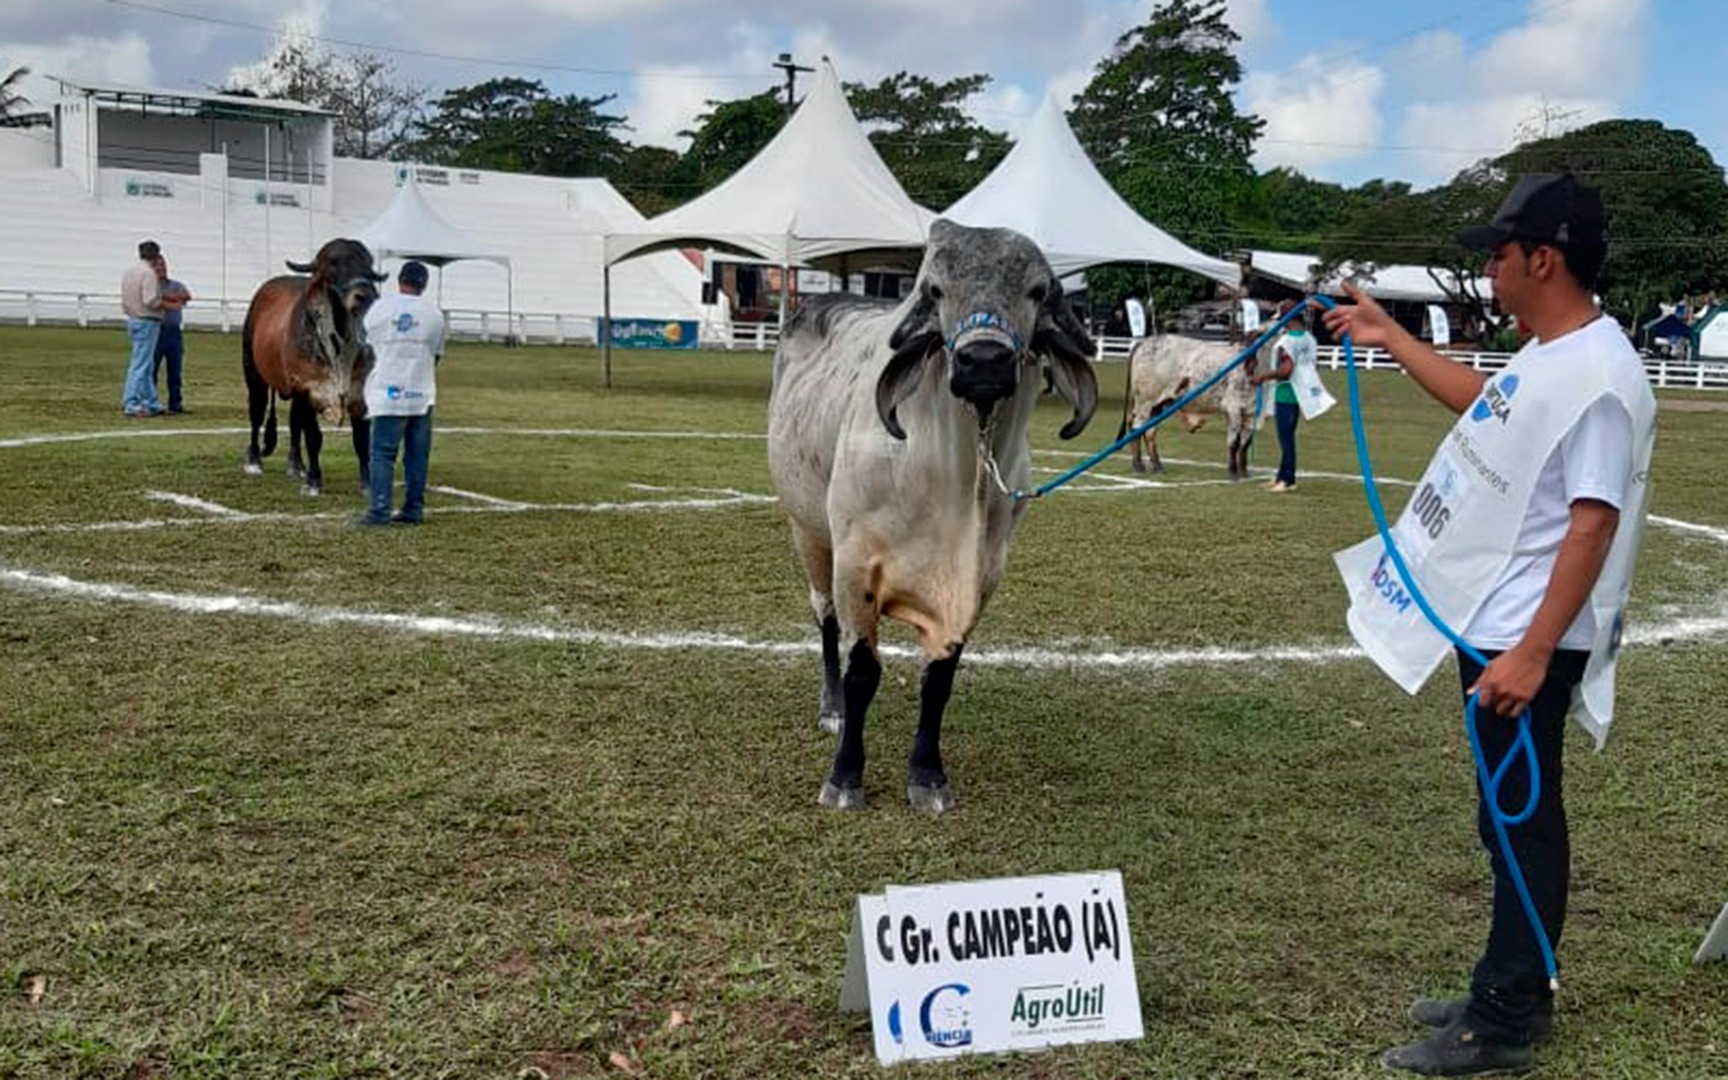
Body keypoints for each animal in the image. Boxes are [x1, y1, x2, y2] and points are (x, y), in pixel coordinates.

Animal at [243, 238, 385, 494]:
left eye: (369, 266)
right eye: (332, 265)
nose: (365, 295)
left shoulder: (359, 390)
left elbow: (361, 439)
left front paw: (368, 483)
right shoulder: (306, 389)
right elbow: (313, 436)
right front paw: (313, 481)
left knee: (293, 422)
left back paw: (296, 464)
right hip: (253, 372)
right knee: (257, 412)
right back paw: (254, 460)